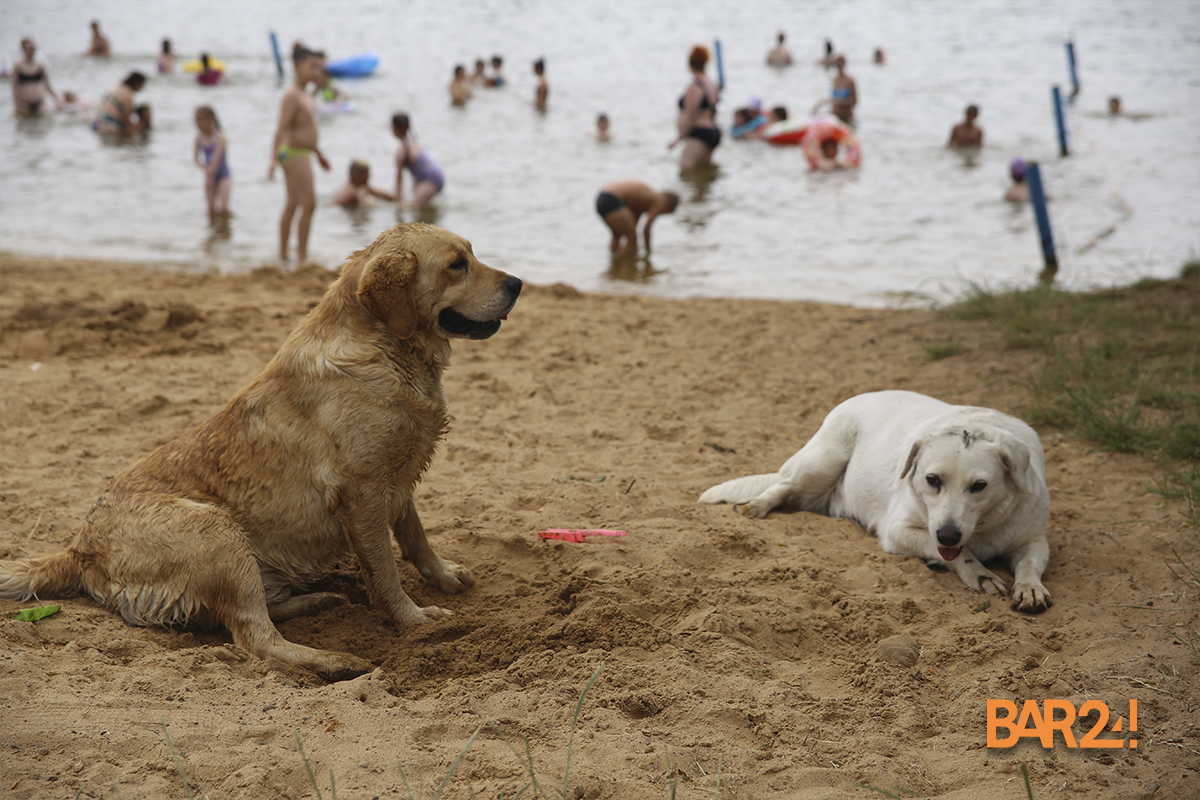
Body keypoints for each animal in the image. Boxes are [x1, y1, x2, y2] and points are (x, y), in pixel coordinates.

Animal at [700, 388, 1056, 614]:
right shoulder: (898, 531)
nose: (947, 535)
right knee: (783, 485)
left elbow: (1029, 563)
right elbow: (964, 556)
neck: (983, 528)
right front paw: (980, 574)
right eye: (932, 480)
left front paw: (1030, 588)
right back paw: (757, 504)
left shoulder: (1034, 539)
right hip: (823, 461)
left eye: (979, 486)